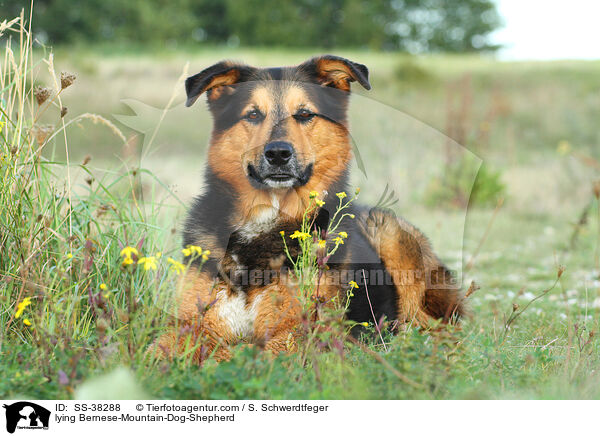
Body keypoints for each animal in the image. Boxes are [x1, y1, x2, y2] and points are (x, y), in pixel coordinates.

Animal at [149, 56, 464, 362]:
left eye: (304, 114)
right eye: (253, 114)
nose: (278, 154)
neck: (268, 219)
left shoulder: (301, 332)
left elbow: (245, 353)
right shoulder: (192, 321)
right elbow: (161, 347)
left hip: (392, 239)